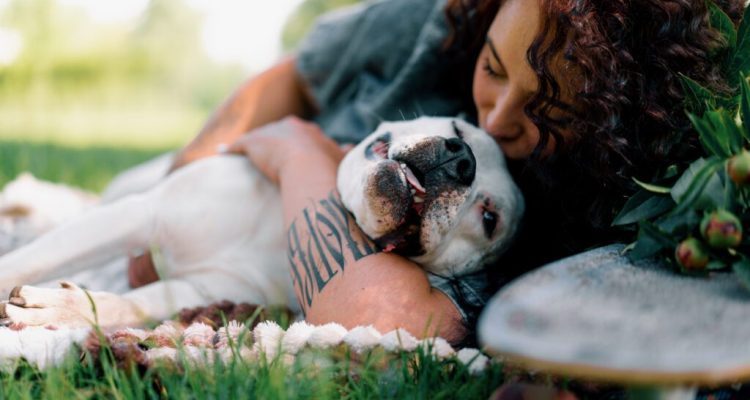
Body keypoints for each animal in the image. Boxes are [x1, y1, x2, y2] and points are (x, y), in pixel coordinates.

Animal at [0, 118, 524, 328]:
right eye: (458, 128)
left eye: (489, 218)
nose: (461, 160)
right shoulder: (141, 214)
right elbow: (31, 259)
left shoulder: (199, 290)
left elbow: (124, 303)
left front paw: (64, 308)